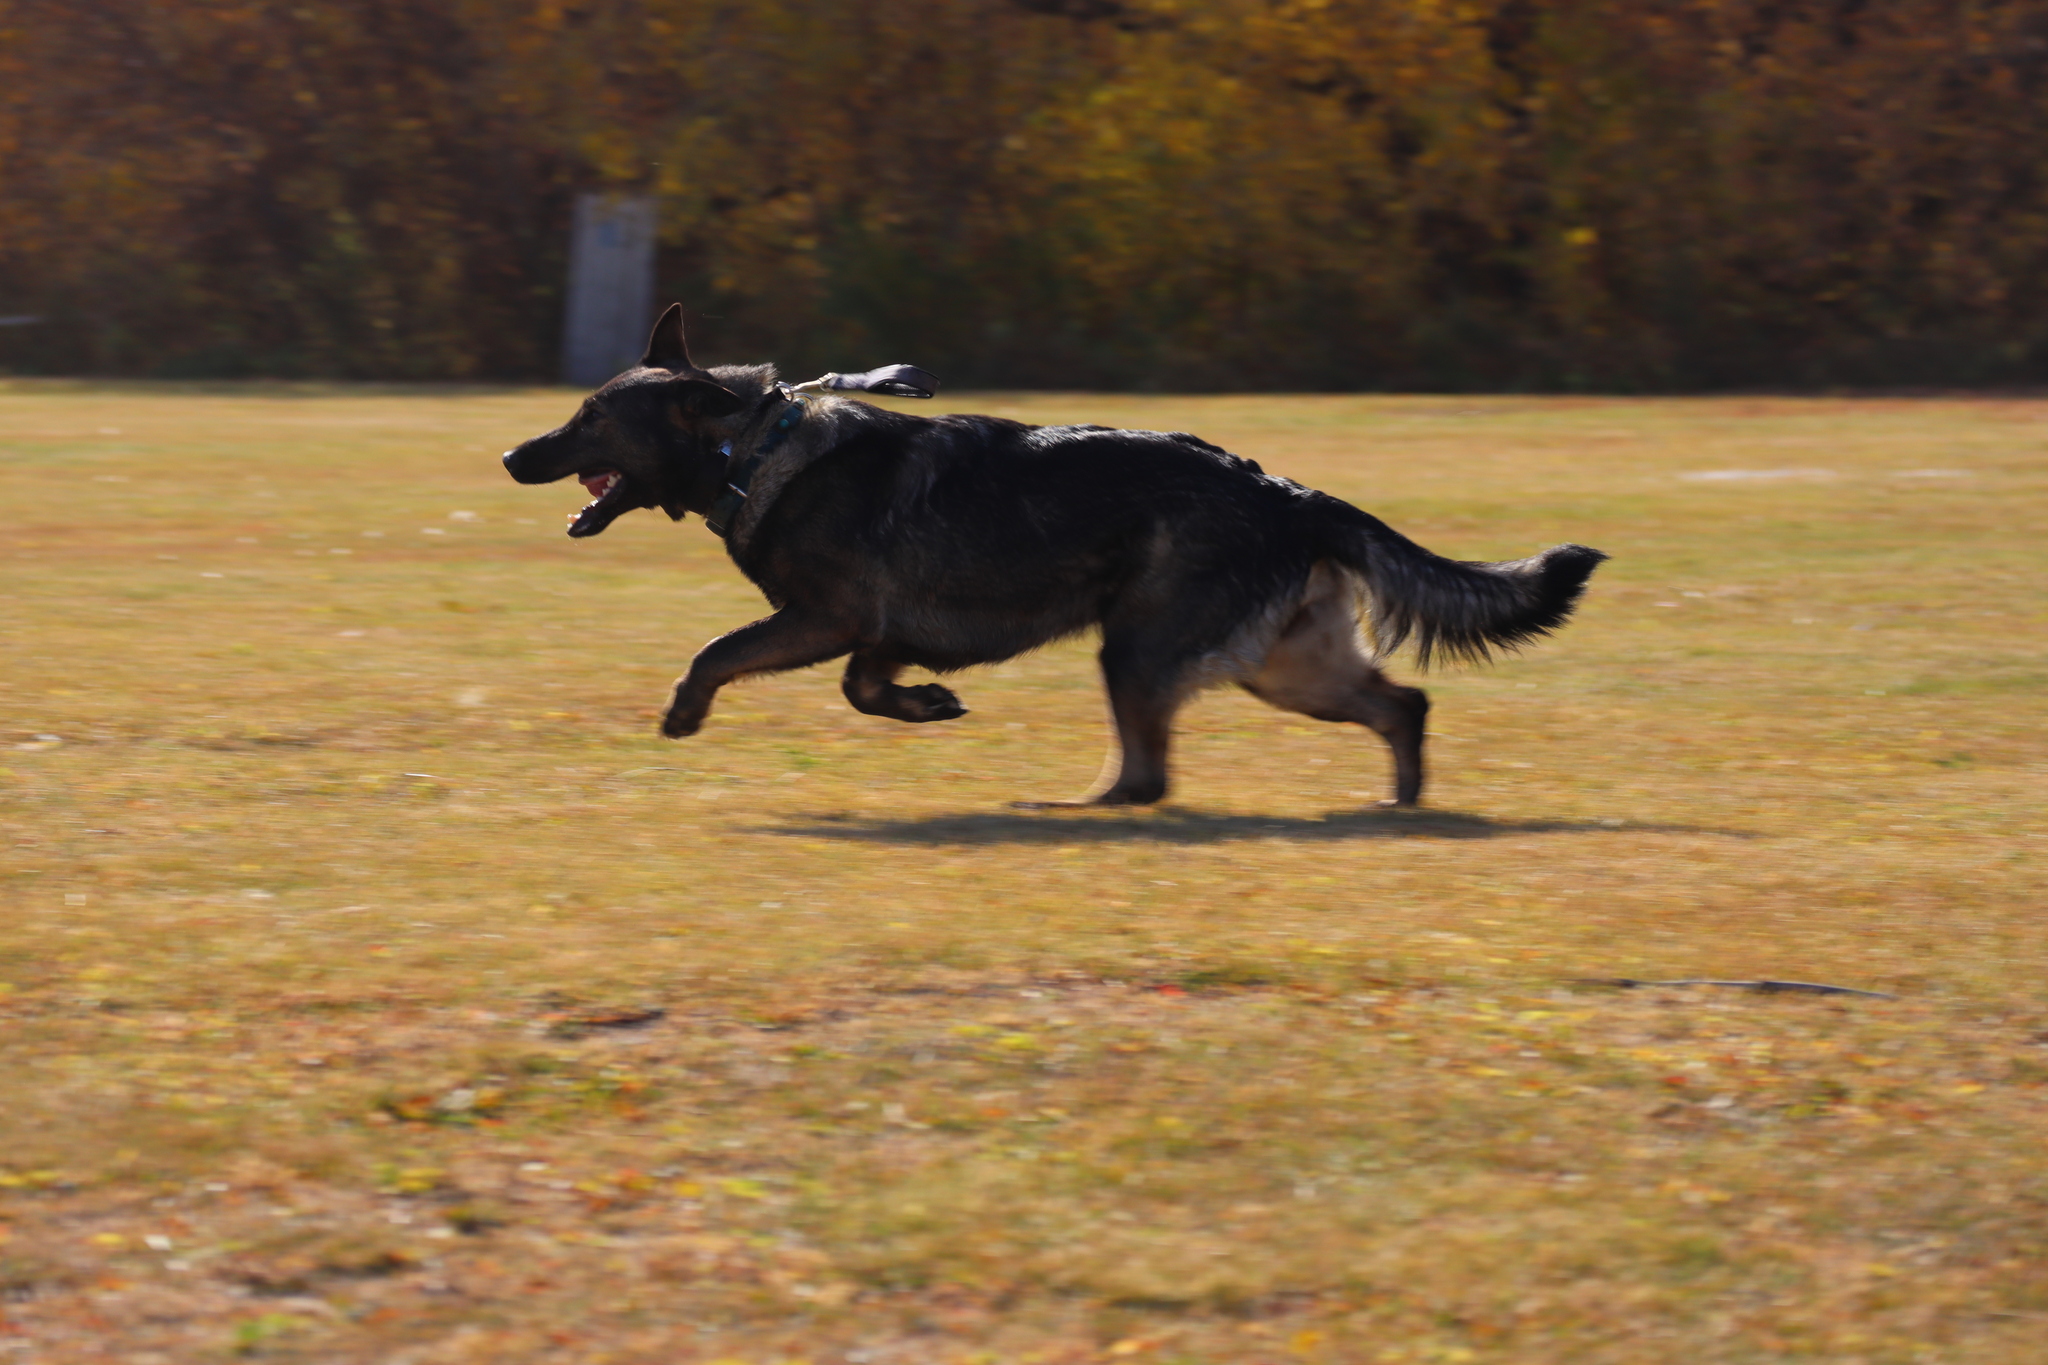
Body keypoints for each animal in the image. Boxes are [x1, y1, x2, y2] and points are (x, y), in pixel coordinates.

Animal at [503, 304, 1605, 806]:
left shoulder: (823, 619)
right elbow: (865, 686)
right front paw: (923, 705)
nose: (511, 456)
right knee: (1400, 704)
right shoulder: (872, 631)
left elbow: (718, 651)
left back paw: (1076, 803)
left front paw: (684, 712)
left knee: (1148, 776)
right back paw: (1398, 803)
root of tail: (1284, 492)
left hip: (1139, 650)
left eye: (590, 418)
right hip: (1285, 668)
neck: (753, 445)